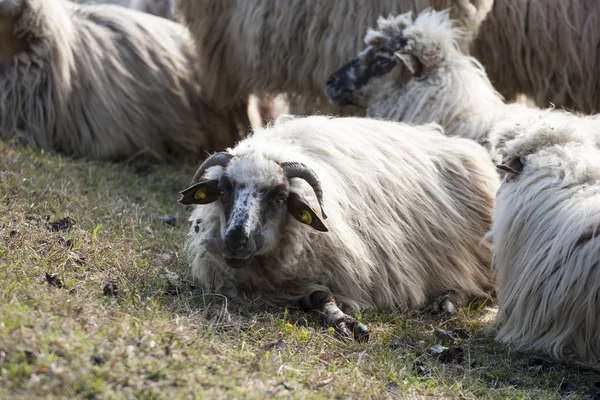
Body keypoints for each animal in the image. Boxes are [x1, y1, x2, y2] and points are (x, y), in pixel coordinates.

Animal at [180, 114, 500, 340]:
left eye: (280, 198)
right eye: (223, 190)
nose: (235, 241)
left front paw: (347, 321)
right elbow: (318, 296)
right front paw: (342, 319)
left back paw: (447, 301)